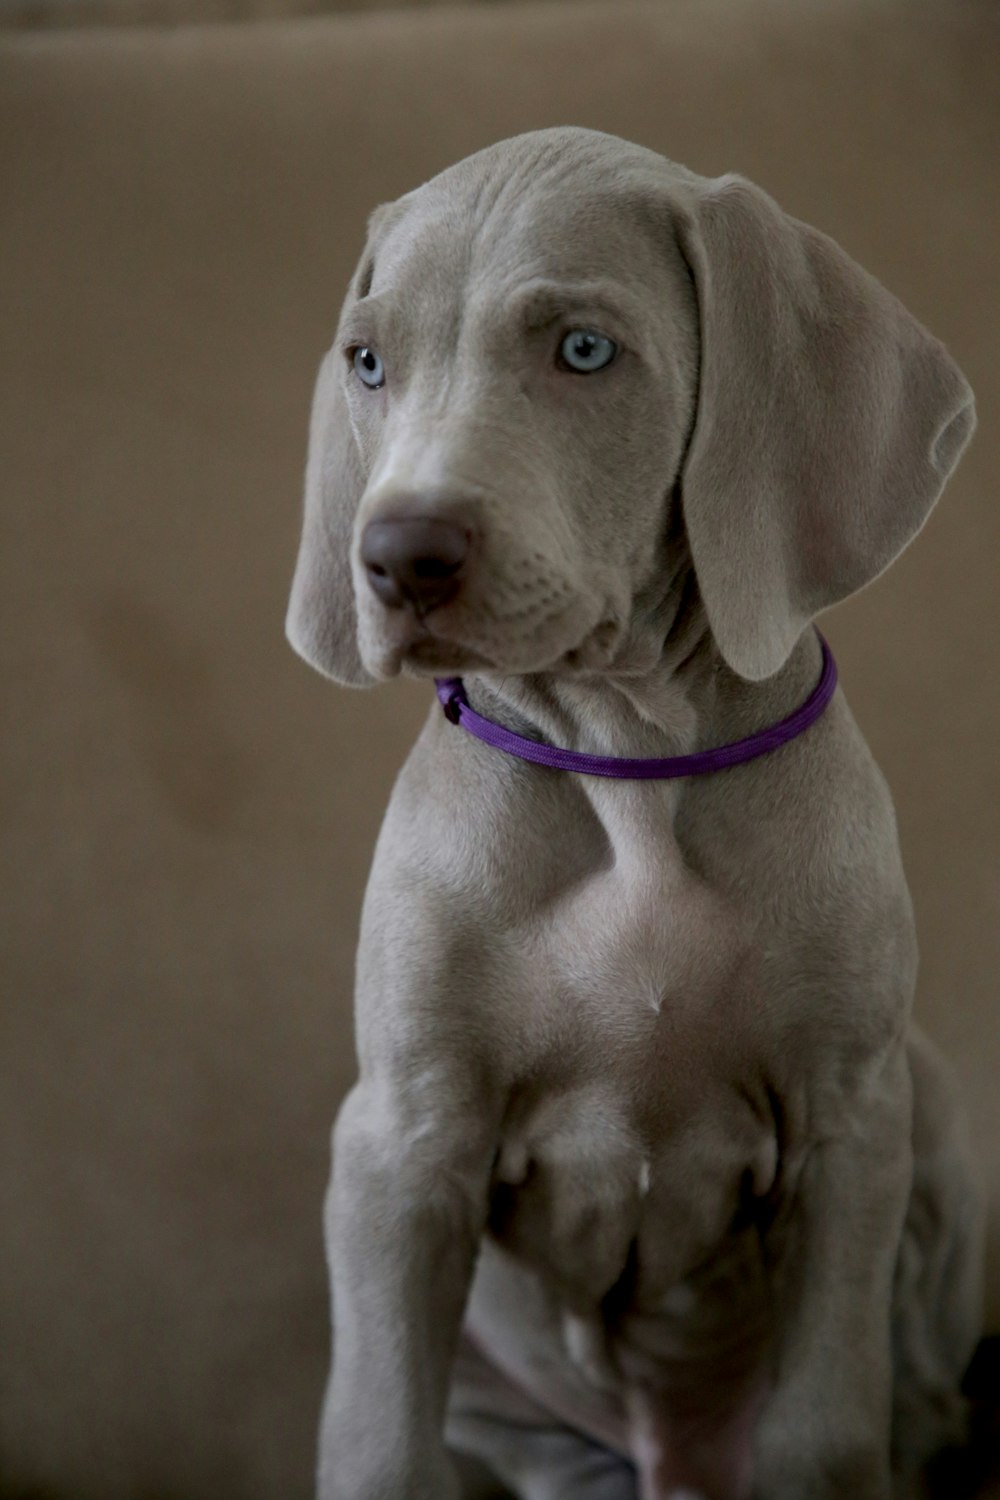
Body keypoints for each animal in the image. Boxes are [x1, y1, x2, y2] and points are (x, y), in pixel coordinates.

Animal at [283, 126, 983, 1500]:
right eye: (369, 362)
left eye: (583, 351)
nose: (397, 555)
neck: (629, 769)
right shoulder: (400, 1139)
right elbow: (379, 1435)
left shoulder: (851, 1122)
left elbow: (825, 1425)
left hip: (927, 1110)